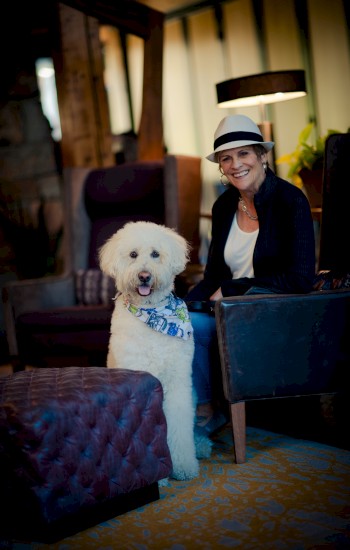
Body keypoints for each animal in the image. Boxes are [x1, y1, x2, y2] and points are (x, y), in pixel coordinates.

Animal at [100, 222, 212, 480]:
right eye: (133, 254)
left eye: (155, 254)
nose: (144, 276)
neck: (153, 315)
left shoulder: (178, 384)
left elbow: (180, 428)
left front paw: (183, 466)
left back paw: (200, 446)